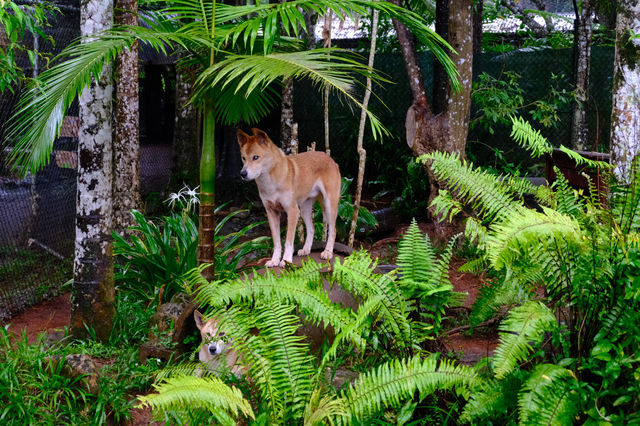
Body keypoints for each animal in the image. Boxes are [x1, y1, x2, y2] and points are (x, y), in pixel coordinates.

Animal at [238, 127, 342, 266]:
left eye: (256, 157)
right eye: (243, 158)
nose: (243, 174)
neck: (270, 183)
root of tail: (330, 159)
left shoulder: (292, 211)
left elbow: (288, 241)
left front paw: (286, 260)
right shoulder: (271, 212)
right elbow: (277, 242)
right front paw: (274, 260)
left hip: (328, 205)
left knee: (333, 230)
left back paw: (327, 252)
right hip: (304, 209)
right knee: (311, 228)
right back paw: (306, 249)